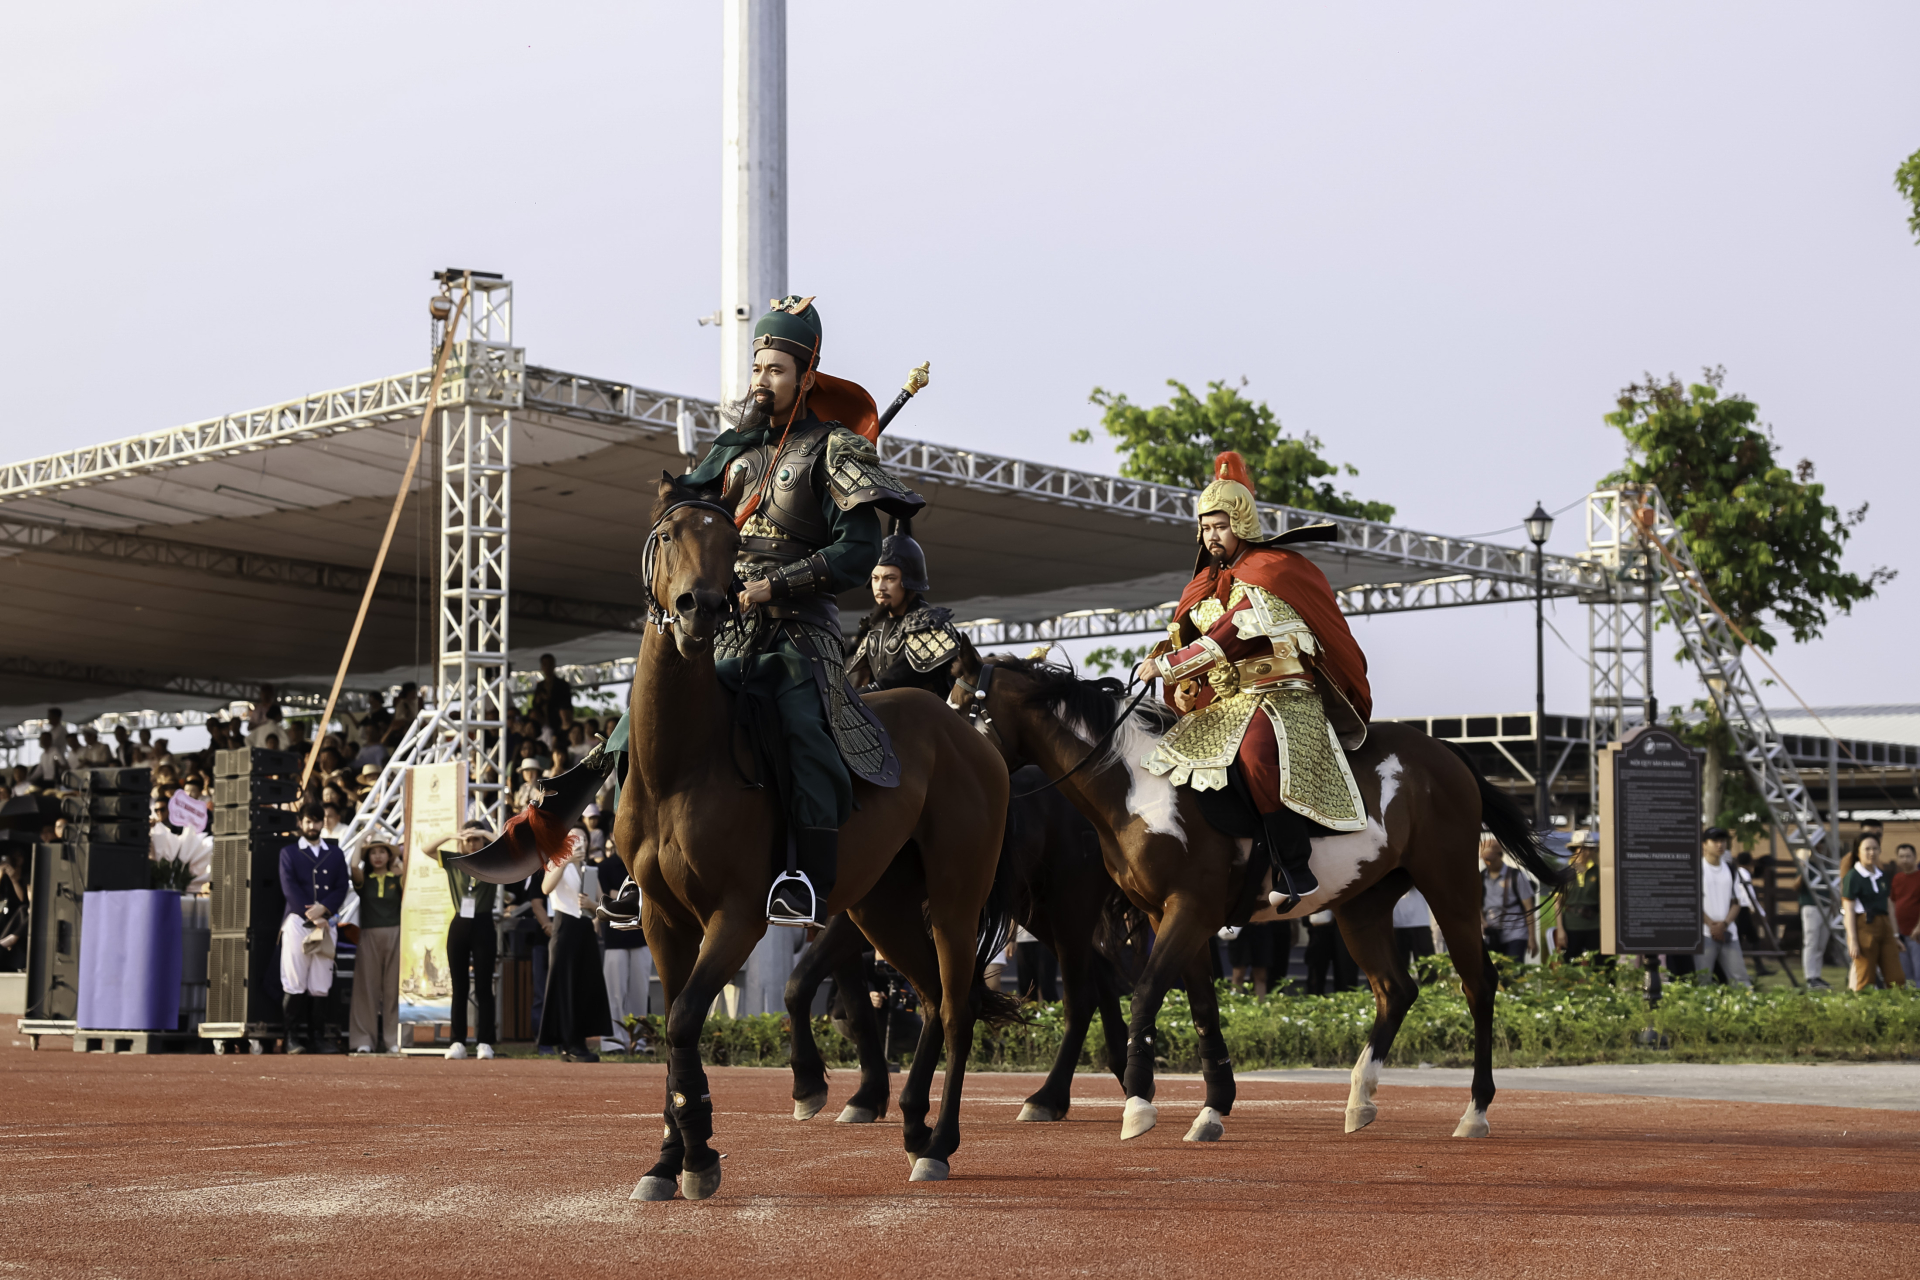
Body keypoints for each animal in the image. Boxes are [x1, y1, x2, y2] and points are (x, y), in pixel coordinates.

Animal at [614, 474, 1013, 1205]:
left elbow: (683, 1019)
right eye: (668, 534)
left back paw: (939, 1143)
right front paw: (666, 1160)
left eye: (729, 543)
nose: (699, 609)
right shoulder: (661, 917)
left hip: (954, 898)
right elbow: (674, 1026)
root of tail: (970, 735)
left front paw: (701, 1152)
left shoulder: (738, 915)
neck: (682, 760)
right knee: (931, 997)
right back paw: (912, 1124)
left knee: (958, 1002)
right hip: (882, 906)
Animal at [783, 767, 1144, 1128]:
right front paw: (866, 1097)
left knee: (1080, 996)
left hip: (1070, 900)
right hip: (1037, 906)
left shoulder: (872, 907)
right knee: (1099, 971)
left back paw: (1046, 1098)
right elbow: (855, 1007)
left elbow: (800, 983)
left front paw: (810, 1085)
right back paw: (1123, 1075)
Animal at [952, 656, 1566, 1143]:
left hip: (1449, 883)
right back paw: (1360, 1099)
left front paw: (1140, 1102)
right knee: (1396, 989)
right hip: (1361, 903)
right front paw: (1211, 1108)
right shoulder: (1169, 915)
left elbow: (1148, 991)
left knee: (1477, 983)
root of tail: (1449, 753)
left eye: (960, 706)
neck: (1137, 786)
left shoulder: (1187, 910)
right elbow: (1202, 1007)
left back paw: (1475, 1110)